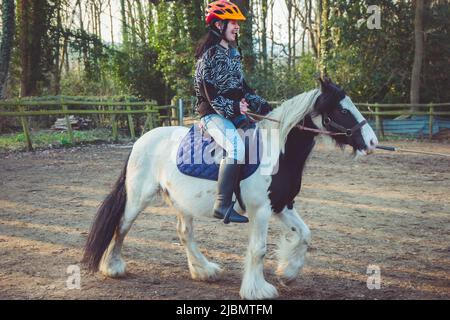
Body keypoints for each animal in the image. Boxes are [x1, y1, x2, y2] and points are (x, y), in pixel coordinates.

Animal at [82, 79, 378, 300]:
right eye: (343, 110)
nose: (373, 142)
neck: (277, 152)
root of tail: (142, 140)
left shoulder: (281, 205)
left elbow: (305, 234)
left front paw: (288, 272)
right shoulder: (260, 210)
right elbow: (258, 249)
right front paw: (258, 289)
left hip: (181, 203)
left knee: (184, 233)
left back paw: (204, 271)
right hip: (137, 198)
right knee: (122, 226)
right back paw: (113, 268)